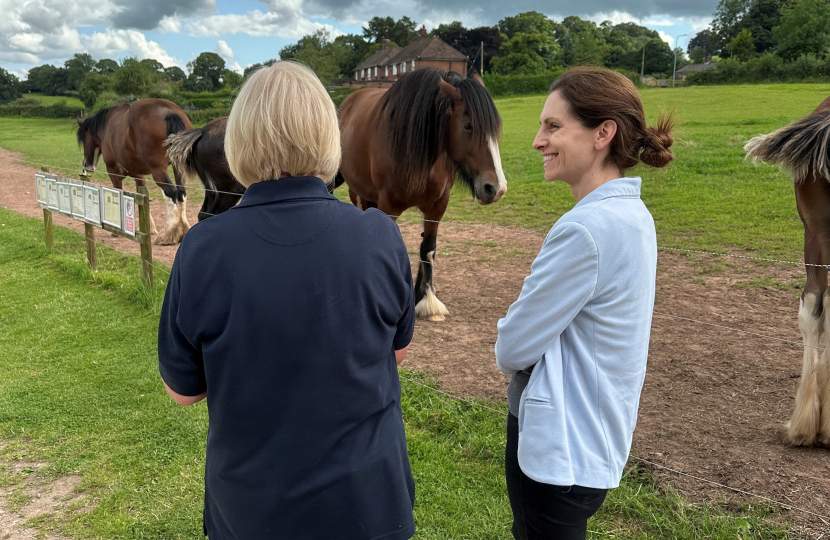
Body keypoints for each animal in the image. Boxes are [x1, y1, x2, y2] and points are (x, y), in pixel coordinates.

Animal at [76, 99, 193, 245]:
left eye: (84, 139)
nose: (86, 165)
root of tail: (168, 112)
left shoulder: (114, 172)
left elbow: (118, 195)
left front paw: (116, 230)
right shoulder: (138, 174)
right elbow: (142, 198)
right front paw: (150, 228)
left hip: (158, 170)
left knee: (171, 192)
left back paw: (169, 233)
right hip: (178, 168)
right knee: (181, 193)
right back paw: (184, 229)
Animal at [336, 67, 508, 320]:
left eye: (495, 128)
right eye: (468, 125)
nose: (496, 188)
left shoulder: (437, 207)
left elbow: (428, 249)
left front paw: (427, 298)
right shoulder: (389, 206)